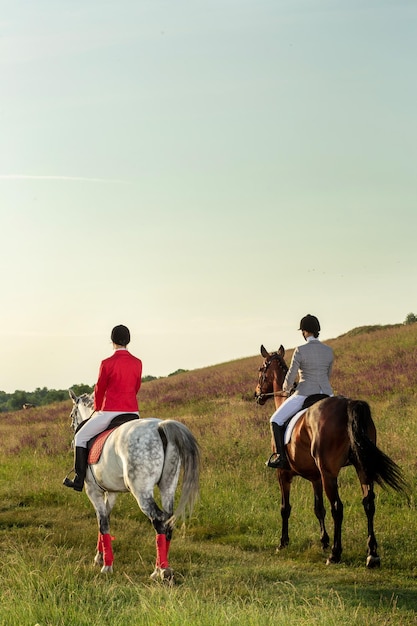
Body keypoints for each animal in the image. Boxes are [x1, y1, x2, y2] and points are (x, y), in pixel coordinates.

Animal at [254, 344, 406, 564]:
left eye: (260, 370)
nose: (256, 395)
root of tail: (348, 405)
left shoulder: (283, 474)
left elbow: (285, 508)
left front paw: (283, 543)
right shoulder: (315, 477)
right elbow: (319, 508)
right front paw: (323, 541)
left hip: (329, 473)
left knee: (337, 507)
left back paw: (336, 553)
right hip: (361, 466)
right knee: (368, 503)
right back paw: (372, 554)